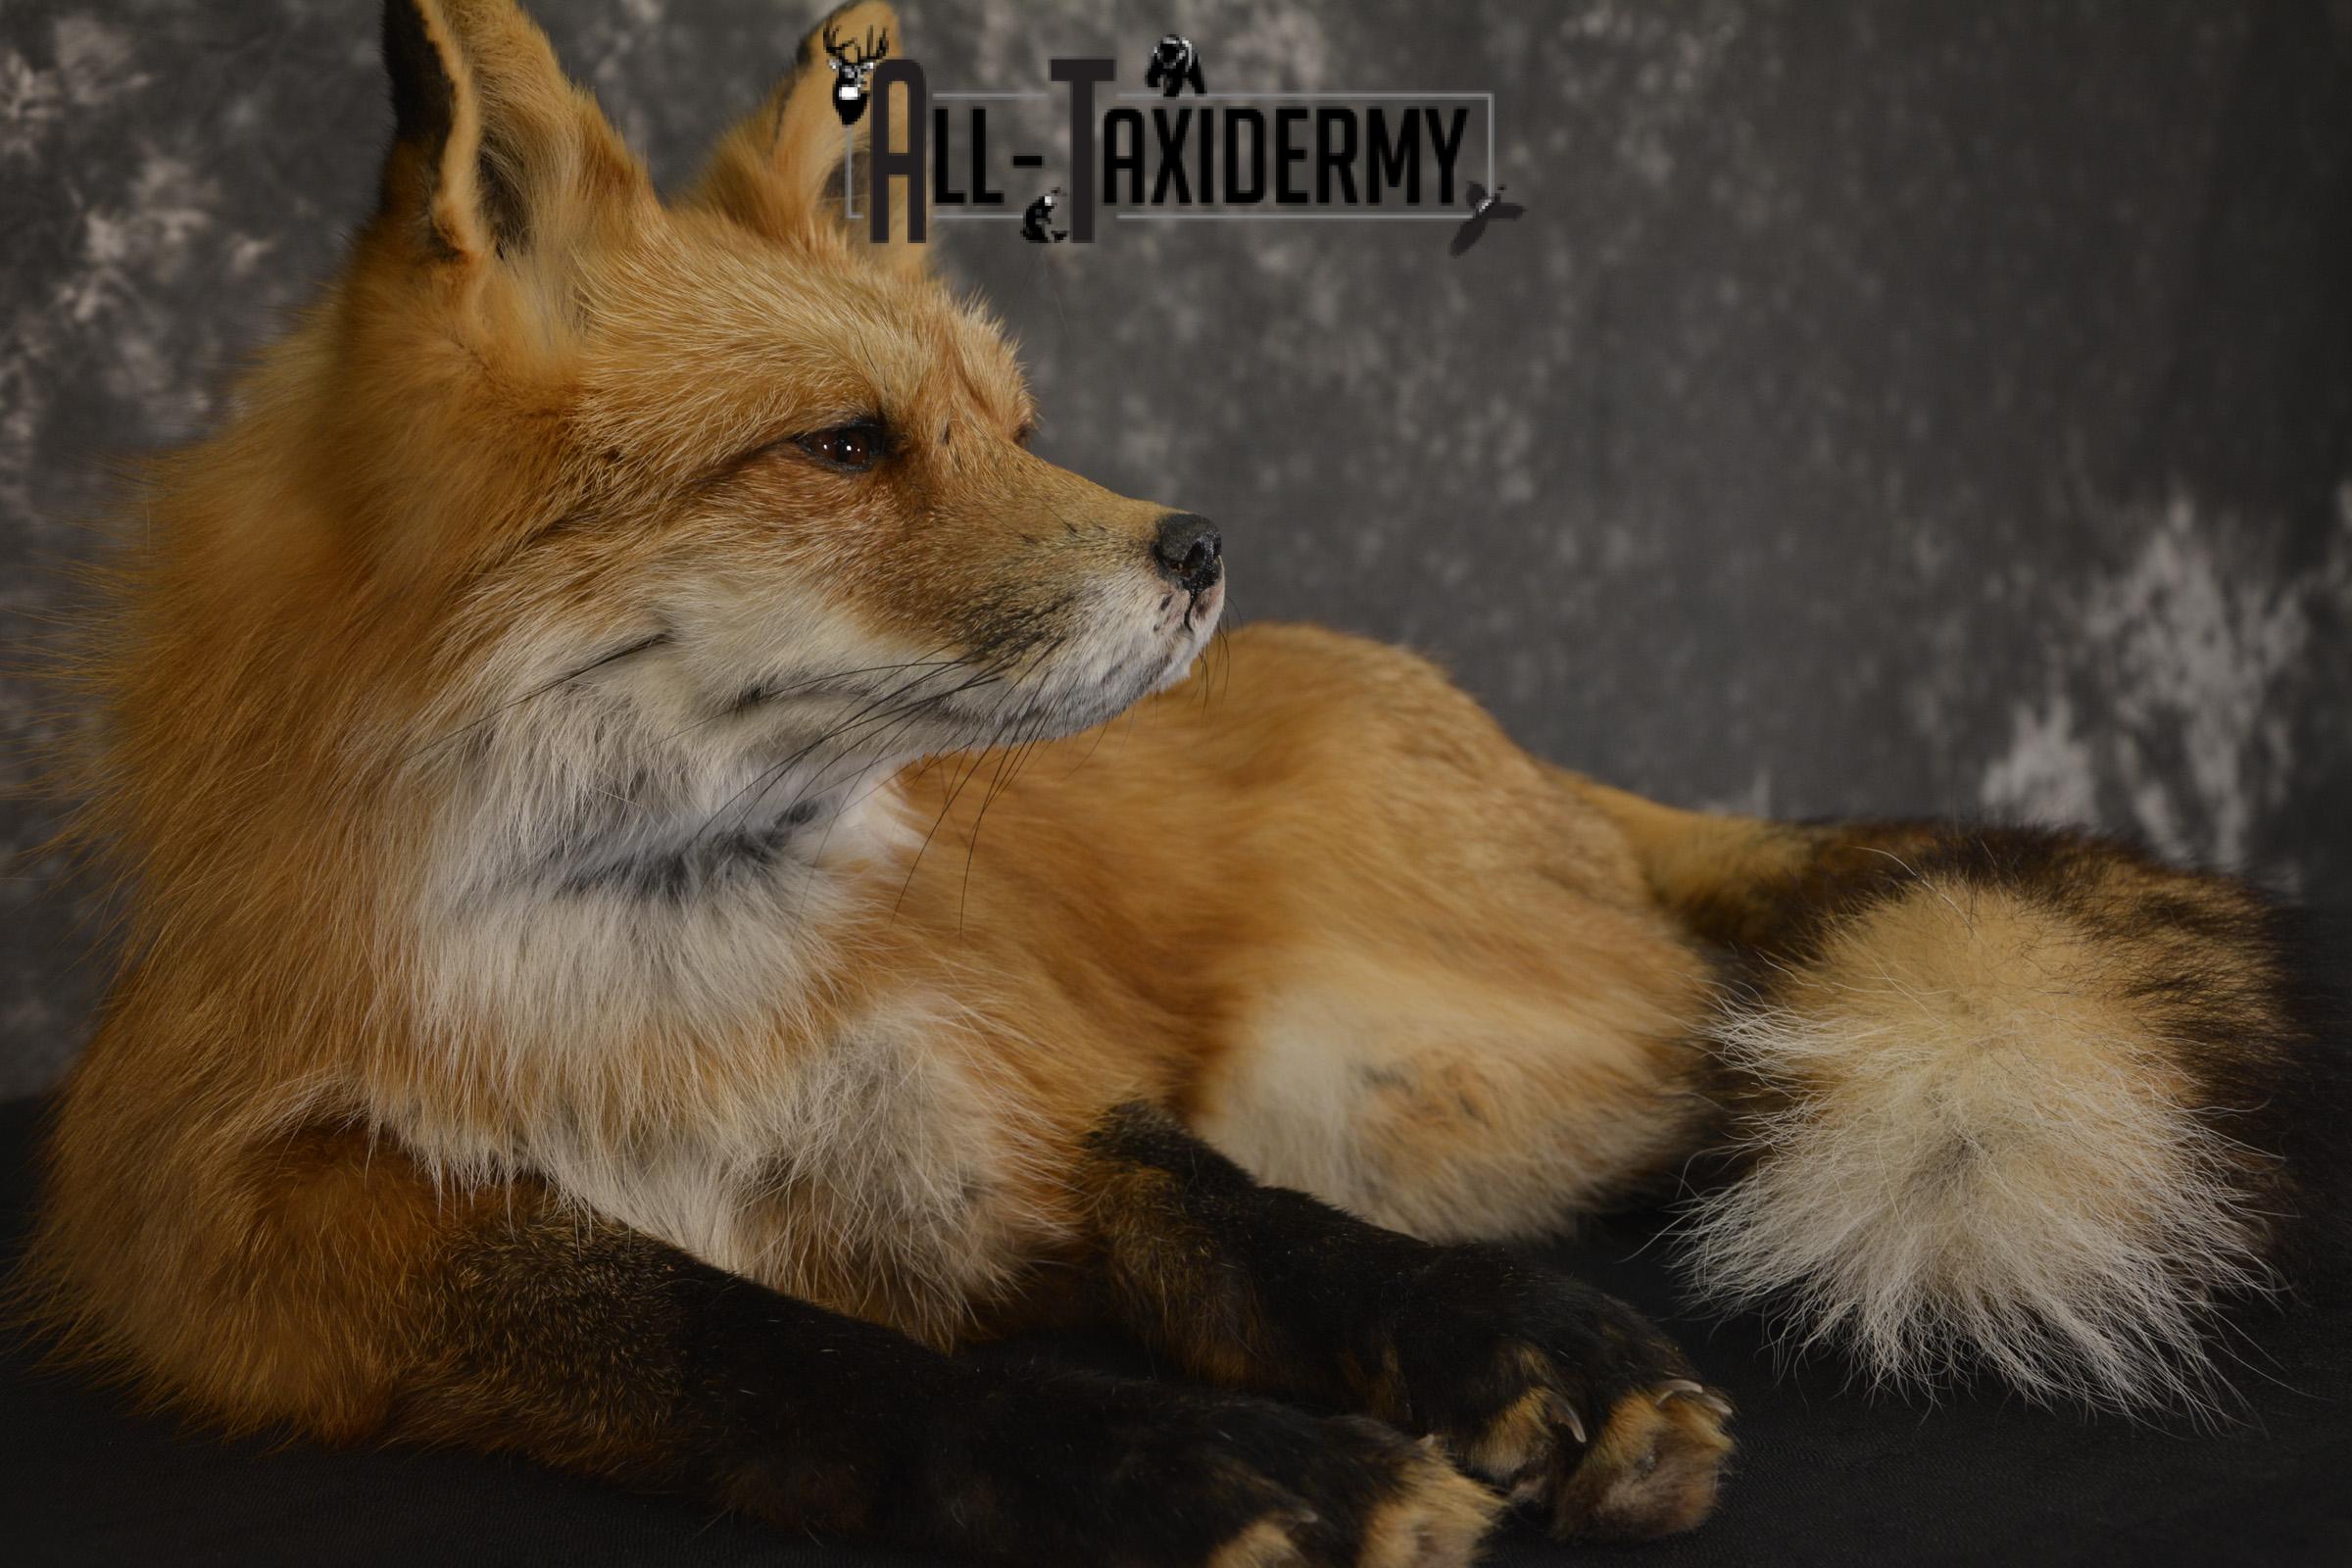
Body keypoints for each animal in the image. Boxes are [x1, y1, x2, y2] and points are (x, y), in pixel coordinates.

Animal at [19, 2, 2348, 1564]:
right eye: (845, 446)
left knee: (1757, 1040)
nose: (1207, 545)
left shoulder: (1011, 1087)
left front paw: (1514, 1351)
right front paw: (1179, 1466)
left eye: (1012, 419)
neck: (674, 977)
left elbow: (1239, 1220)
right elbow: (767, 1341)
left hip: (1389, 1066)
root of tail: (1499, 732)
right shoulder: (269, 1233)